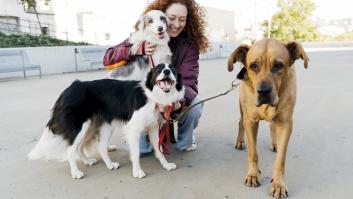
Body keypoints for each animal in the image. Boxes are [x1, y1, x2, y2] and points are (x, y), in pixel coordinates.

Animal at [29, 63, 184, 179]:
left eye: (173, 69)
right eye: (158, 69)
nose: (166, 71)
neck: (152, 96)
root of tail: (69, 89)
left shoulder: (153, 127)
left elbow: (159, 149)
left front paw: (166, 165)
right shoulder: (133, 129)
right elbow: (135, 153)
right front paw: (137, 172)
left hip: (99, 126)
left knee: (97, 147)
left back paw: (102, 163)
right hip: (80, 127)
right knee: (71, 149)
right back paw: (76, 173)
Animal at [227, 38, 306, 198]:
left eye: (278, 65)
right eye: (253, 66)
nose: (263, 91)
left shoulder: (286, 124)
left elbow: (280, 160)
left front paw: (278, 184)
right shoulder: (251, 121)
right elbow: (253, 153)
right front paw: (253, 174)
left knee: (272, 126)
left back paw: (275, 143)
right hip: (242, 108)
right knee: (240, 122)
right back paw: (240, 141)